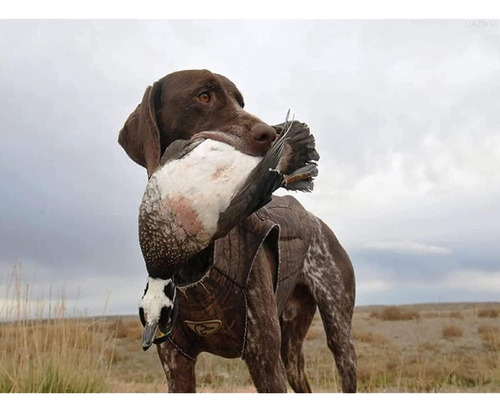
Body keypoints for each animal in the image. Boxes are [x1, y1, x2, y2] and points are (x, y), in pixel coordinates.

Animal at [119, 69, 358, 392]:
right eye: (203, 95)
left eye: (240, 100)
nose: (270, 133)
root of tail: (317, 221)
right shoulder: (176, 362)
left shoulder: (264, 360)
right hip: (291, 351)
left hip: (338, 335)